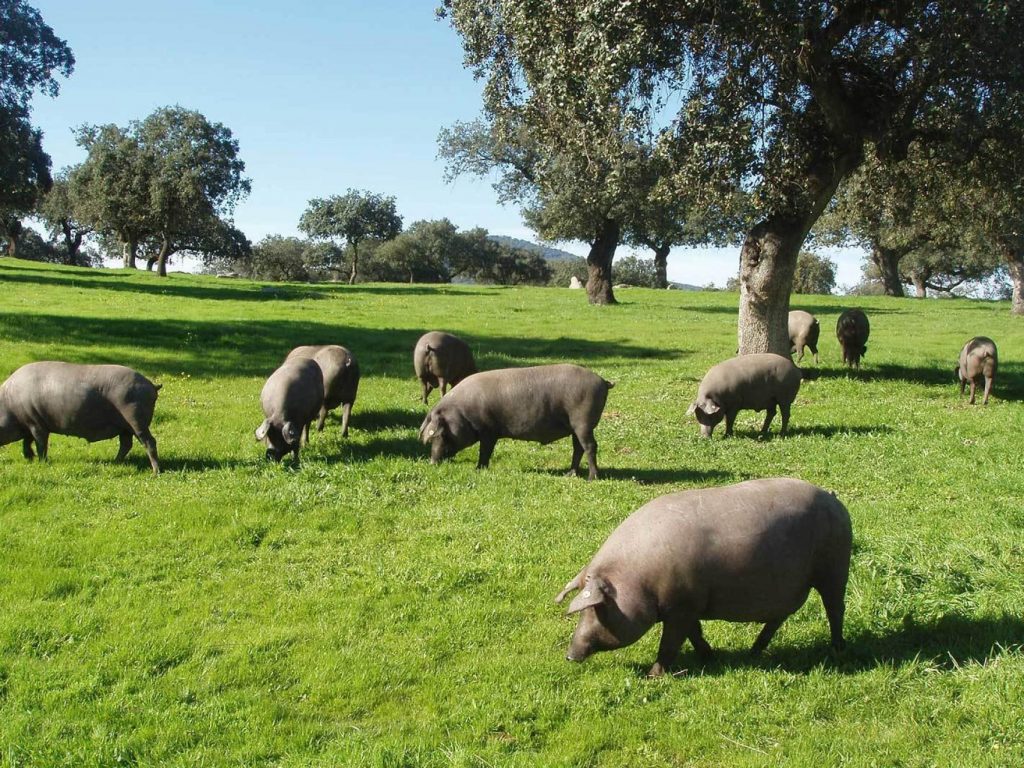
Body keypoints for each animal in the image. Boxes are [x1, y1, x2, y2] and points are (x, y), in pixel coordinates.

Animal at [0, 361, 161, 474]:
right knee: (126, 444)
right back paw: (115, 463)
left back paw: (155, 472)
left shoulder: (37, 424)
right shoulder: (29, 424)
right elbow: (27, 442)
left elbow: (40, 444)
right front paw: (29, 458)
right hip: (125, 427)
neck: (9, 404)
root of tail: (151, 385)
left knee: (149, 442)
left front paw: (42, 462)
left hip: (136, 420)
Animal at [418, 363, 613, 480]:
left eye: (441, 434)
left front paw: (478, 469)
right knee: (578, 448)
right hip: (575, 427)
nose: (432, 462)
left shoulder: (488, 431)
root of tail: (603, 381)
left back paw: (592, 478)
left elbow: (485, 451)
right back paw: (569, 474)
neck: (464, 412)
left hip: (583, 422)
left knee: (590, 446)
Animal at [556, 477, 852, 677]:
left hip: (835, 568)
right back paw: (754, 652)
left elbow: (671, 642)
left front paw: (653, 676)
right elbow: (694, 633)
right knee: (779, 618)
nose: (569, 656)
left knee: (835, 609)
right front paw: (710, 657)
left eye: (597, 609)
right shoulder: (688, 605)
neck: (638, 579)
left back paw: (837, 649)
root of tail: (832, 497)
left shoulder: (681, 606)